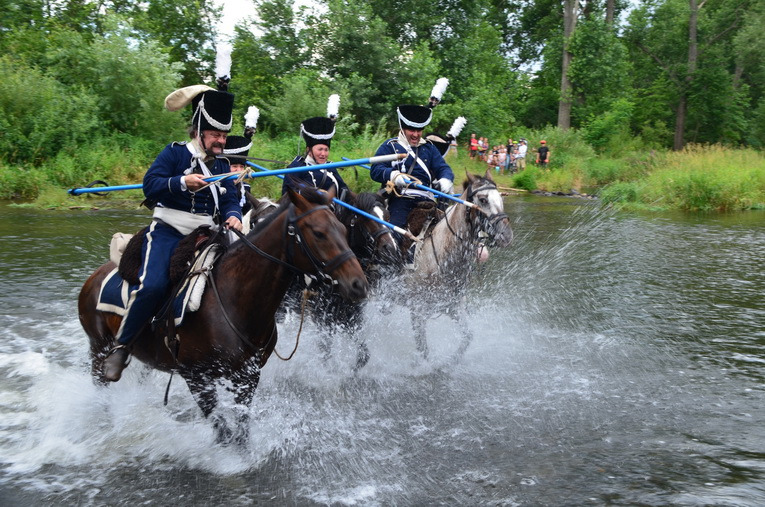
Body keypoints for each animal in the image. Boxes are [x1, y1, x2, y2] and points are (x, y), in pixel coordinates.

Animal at [78, 187, 368, 444]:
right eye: (318, 233)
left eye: (344, 229)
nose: (358, 284)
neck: (232, 299)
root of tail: (94, 277)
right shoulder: (197, 378)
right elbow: (221, 428)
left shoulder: (247, 377)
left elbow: (240, 429)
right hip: (98, 349)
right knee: (100, 388)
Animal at [403, 169, 513, 360]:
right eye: (483, 199)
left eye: (500, 198)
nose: (506, 235)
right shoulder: (417, 312)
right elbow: (423, 350)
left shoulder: (453, 307)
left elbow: (467, 337)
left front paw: (451, 362)